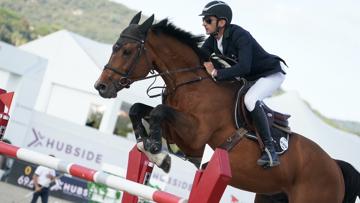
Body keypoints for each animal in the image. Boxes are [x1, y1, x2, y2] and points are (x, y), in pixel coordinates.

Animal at [94, 11, 358, 202]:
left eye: (127, 51)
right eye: (114, 47)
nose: (101, 87)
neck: (190, 83)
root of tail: (335, 166)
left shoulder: (196, 137)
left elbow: (159, 112)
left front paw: (159, 154)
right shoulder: (179, 131)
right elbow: (138, 109)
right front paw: (146, 144)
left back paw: (270, 156)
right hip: (270, 195)